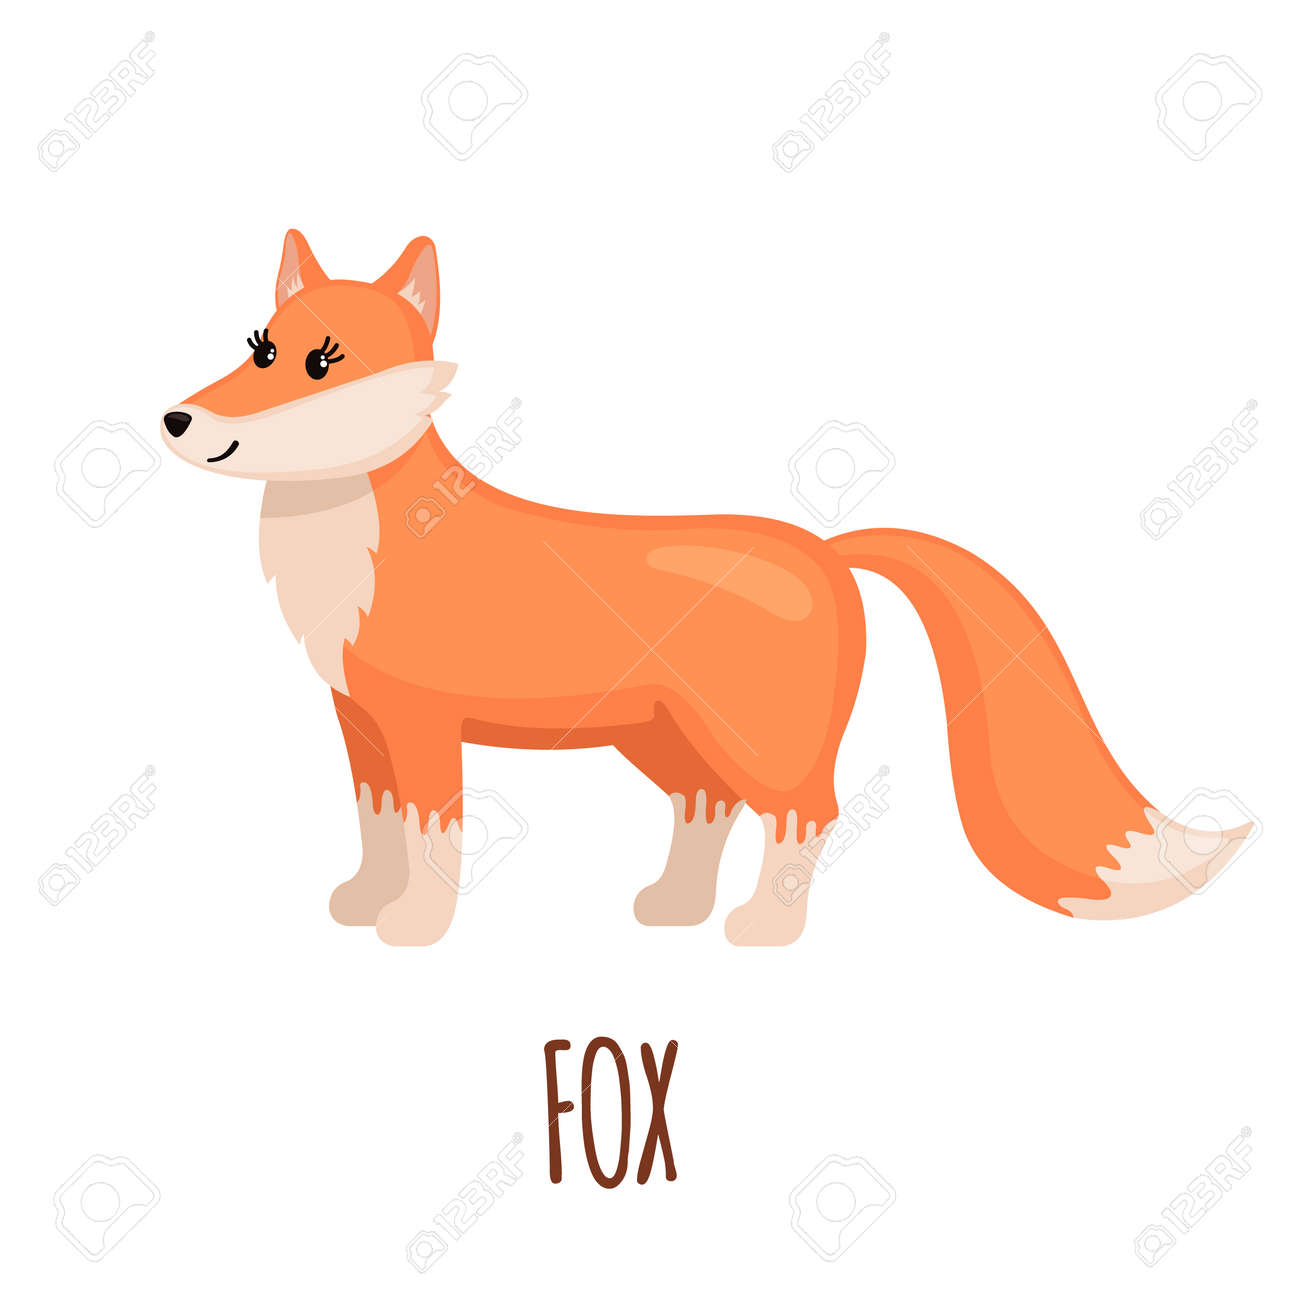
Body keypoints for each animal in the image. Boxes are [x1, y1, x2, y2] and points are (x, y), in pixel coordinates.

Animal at [161, 230, 1250, 946]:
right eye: (259, 348)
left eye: (322, 363)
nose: (177, 419)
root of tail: (827, 547)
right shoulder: (360, 723)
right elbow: (377, 823)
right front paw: (359, 902)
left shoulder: (425, 725)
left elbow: (433, 837)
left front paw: (414, 928)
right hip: (669, 739)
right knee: (705, 810)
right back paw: (674, 910)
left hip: (762, 744)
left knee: (807, 814)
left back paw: (764, 928)